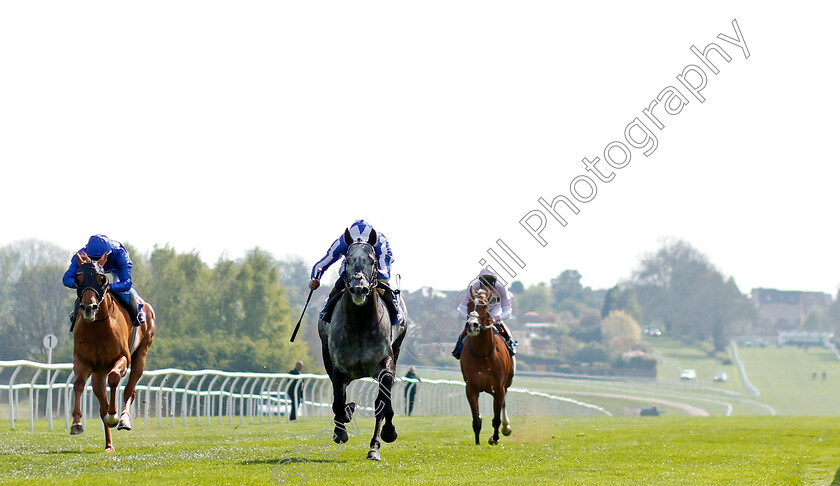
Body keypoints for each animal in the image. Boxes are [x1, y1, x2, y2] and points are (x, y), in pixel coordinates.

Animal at [69, 252, 156, 454]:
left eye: (102, 279)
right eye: (78, 278)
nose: (89, 307)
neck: (98, 328)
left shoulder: (122, 358)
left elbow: (115, 378)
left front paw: (114, 415)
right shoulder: (84, 362)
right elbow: (78, 385)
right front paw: (76, 423)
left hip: (141, 354)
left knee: (130, 389)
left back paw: (123, 419)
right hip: (98, 373)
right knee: (101, 404)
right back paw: (109, 445)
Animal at [316, 230, 406, 462]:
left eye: (372, 261)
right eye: (347, 260)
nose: (359, 289)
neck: (359, 323)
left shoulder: (385, 362)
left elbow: (382, 402)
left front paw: (384, 437)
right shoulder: (338, 367)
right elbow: (338, 402)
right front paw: (341, 430)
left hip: (397, 349)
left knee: (383, 400)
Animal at [460, 286, 512, 446]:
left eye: (484, 305)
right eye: (469, 304)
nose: (472, 325)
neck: (483, 354)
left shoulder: (499, 389)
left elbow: (496, 419)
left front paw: (494, 438)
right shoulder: (471, 389)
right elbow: (476, 419)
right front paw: (477, 442)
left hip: (506, 384)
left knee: (503, 405)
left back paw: (506, 428)